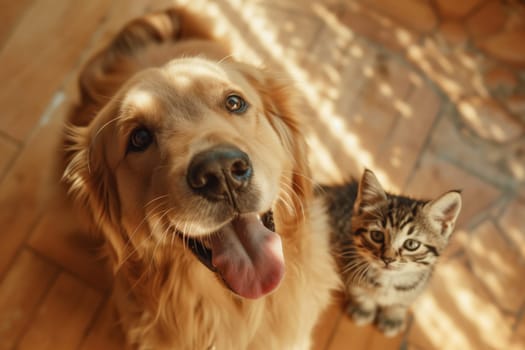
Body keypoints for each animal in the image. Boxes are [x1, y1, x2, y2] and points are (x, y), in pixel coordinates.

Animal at [322, 170, 460, 336]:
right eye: (377, 235)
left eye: (411, 244)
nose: (387, 259)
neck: (388, 281)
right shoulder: (345, 262)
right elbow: (358, 291)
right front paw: (363, 308)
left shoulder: (420, 284)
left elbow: (401, 302)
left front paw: (392, 317)